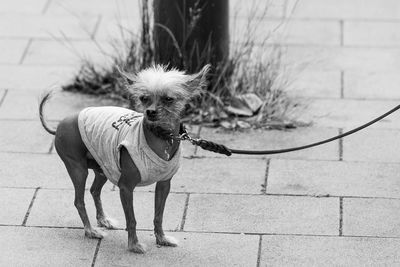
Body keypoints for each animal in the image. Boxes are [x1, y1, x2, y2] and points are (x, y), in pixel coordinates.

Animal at [39, 64, 211, 253]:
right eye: (144, 98)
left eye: (168, 99)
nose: (150, 111)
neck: (161, 137)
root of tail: (58, 126)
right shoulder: (125, 187)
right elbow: (132, 220)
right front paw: (134, 245)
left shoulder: (164, 185)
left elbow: (158, 215)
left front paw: (162, 239)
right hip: (78, 170)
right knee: (79, 201)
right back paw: (91, 231)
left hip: (103, 166)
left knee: (94, 191)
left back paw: (103, 220)